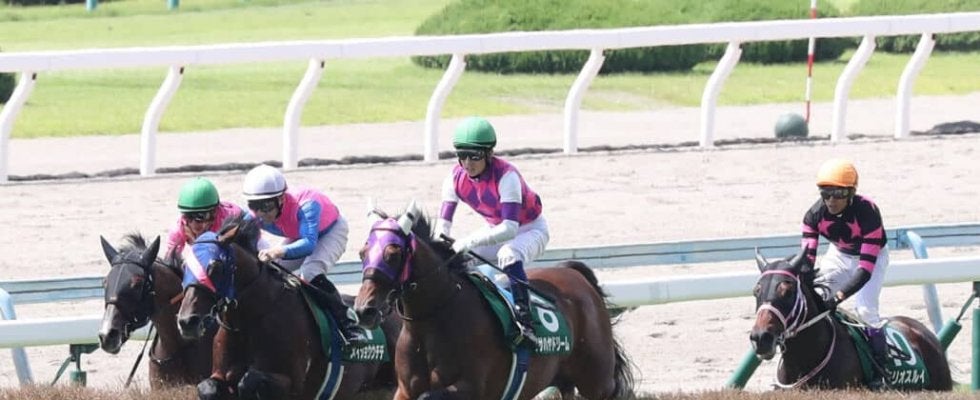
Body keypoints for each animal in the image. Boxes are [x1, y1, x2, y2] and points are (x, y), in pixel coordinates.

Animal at [175, 214, 399, 400]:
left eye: (215, 266)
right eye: (184, 265)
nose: (187, 321)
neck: (249, 320)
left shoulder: (293, 384)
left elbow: (249, 381)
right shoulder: (219, 373)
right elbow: (208, 387)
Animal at [352, 203, 634, 400]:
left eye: (393, 253)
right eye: (363, 253)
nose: (364, 310)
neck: (434, 322)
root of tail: (574, 273)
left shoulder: (470, 388)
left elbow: (429, 395)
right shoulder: (404, 390)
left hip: (597, 381)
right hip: (565, 379)